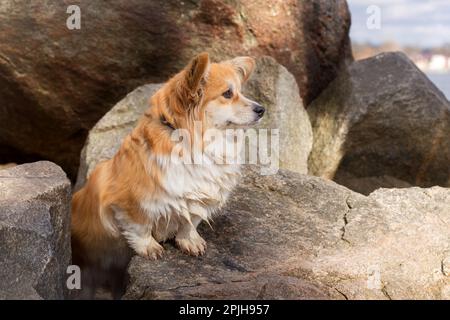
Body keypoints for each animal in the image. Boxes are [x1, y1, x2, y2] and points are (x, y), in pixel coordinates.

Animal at [71, 52, 264, 298]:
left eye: (240, 91)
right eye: (228, 94)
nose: (262, 109)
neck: (196, 145)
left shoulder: (198, 199)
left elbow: (190, 221)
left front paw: (189, 241)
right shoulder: (127, 203)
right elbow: (139, 226)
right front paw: (149, 247)